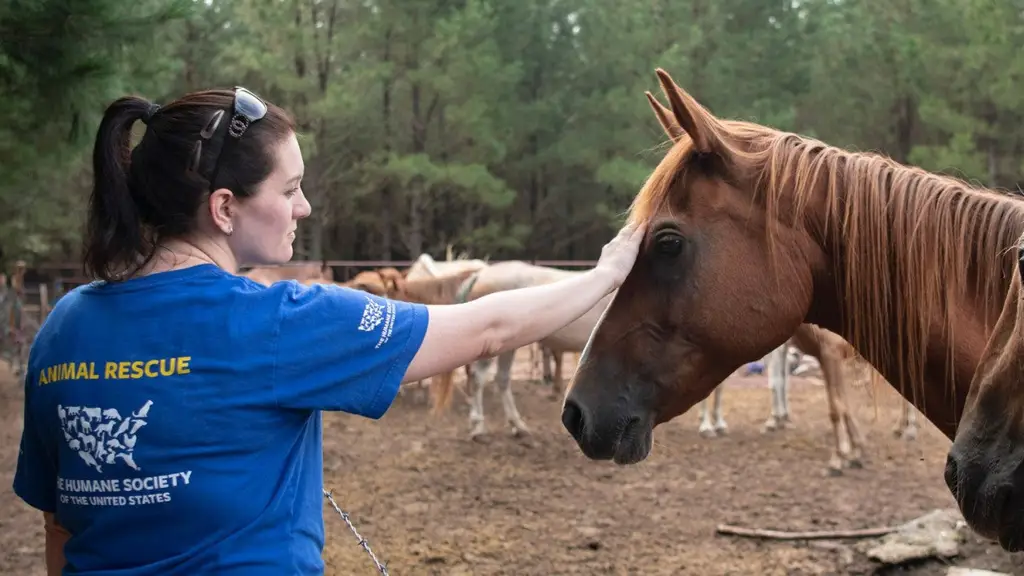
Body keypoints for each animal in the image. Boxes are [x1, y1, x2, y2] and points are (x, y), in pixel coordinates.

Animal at [565, 67, 1024, 545]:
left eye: (668, 243)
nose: (576, 412)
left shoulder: (831, 357)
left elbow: (836, 406)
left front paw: (844, 456)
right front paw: (849, 450)